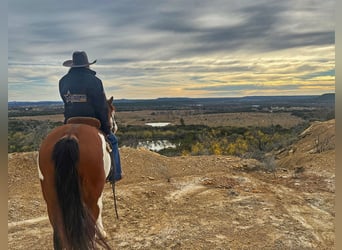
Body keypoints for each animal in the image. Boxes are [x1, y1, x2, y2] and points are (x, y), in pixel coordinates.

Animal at [37, 96, 115, 249]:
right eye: (111, 112)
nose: (114, 126)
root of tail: (70, 136)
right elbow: (100, 206)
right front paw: (102, 233)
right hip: (92, 193)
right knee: (91, 221)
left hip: (51, 197)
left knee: (58, 230)